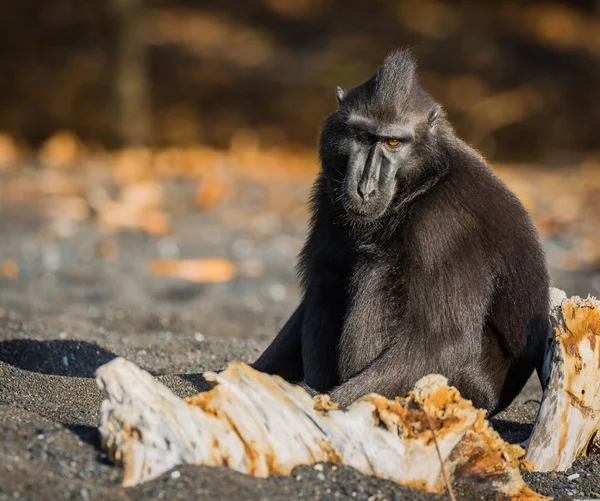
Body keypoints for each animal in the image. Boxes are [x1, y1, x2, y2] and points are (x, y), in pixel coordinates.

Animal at [251, 49, 552, 414]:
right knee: (329, 277)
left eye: (393, 142)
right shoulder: (327, 195)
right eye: (363, 137)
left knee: (378, 272)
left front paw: (323, 402)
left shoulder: (444, 226)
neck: (423, 183)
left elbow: (443, 340)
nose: (365, 189)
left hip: (468, 389)